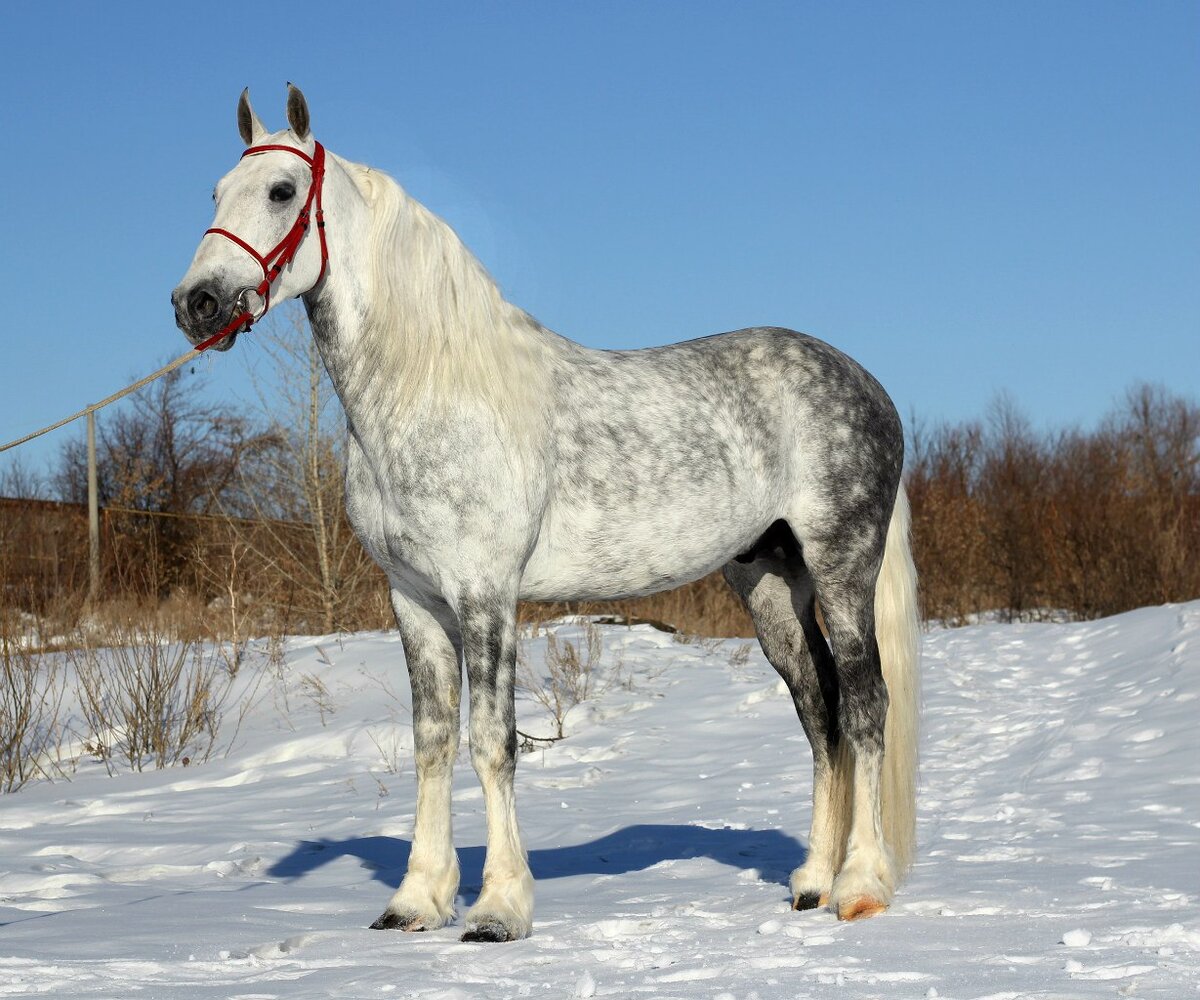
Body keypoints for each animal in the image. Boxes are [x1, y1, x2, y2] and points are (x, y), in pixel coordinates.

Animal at [171, 87, 916, 945]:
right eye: (214, 193)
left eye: (282, 191)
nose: (195, 305)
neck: (429, 390)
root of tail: (866, 382)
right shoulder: (414, 601)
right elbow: (433, 740)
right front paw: (416, 901)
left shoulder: (486, 596)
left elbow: (493, 742)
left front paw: (498, 910)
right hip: (769, 585)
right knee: (819, 712)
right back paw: (812, 882)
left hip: (841, 567)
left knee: (865, 705)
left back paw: (860, 886)